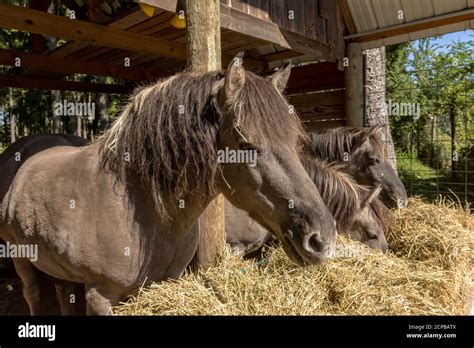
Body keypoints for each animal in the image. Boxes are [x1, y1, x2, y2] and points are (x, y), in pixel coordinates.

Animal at [1, 54, 338, 316]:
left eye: (295, 142)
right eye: (247, 144)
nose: (322, 239)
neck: (141, 212)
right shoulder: (101, 295)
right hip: (21, 259)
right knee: (32, 293)